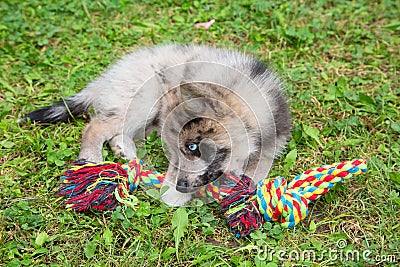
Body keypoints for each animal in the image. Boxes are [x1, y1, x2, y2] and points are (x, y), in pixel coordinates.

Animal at [21, 44, 290, 207]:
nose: (180, 186)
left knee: (117, 131)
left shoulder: (271, 142)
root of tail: (109, 76)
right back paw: (91, 159)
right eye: (182, 151)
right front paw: (173, 195)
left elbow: (255, 169)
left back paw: (125, 151)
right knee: (97, 126)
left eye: (193, 147)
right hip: (143, 100)